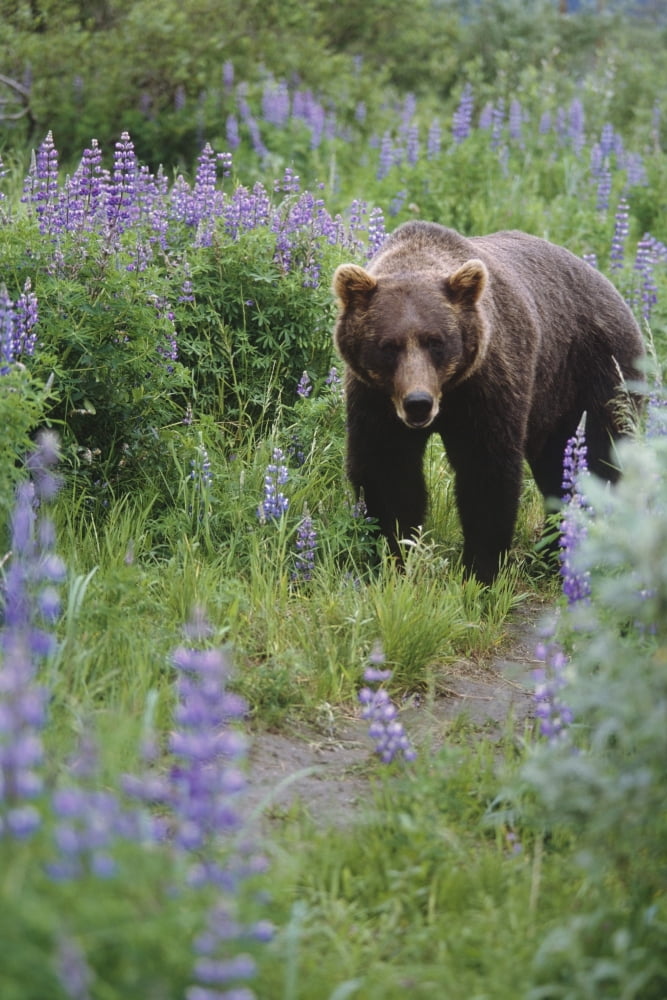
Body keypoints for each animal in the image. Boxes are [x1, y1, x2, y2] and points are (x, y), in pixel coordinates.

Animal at [332, 220, 645, 584]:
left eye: (436, 341)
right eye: (388, 346)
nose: (418, 403)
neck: (448, 392)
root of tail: (612, 288)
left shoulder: (487, 384)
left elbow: (485, 471)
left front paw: (479, 568)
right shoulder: (376, 398)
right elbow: (387, 470)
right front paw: (392, 556)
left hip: (597, 371)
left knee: (599, 457)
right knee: (558, 465)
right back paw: (552, 550)